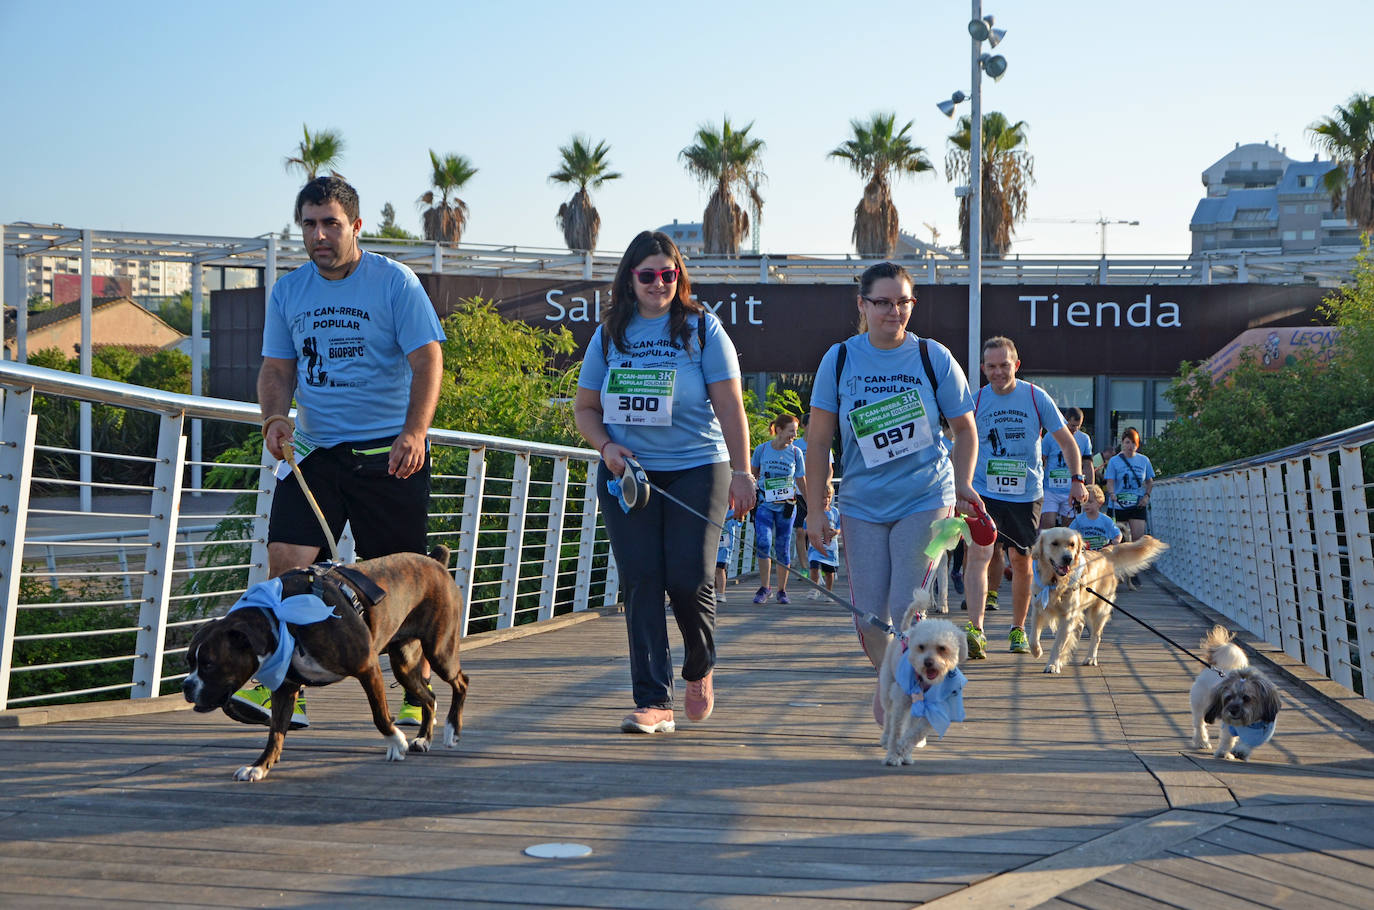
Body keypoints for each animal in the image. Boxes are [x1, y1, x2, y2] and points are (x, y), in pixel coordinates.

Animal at [181, 544, 467, 780]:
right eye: (189, 661)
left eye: (209, 664)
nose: (186, 686)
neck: (282, 617)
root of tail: (436, 562)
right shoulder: (285, 688)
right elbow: (275, 732)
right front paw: (259, 766)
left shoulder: (368, 668)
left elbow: (380, 715)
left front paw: (396, 742)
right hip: (404, 666)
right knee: (429, 697)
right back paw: (423, 739)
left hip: (439, 651)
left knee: (461, 682)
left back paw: (452, 729)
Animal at [879, 596, 967, 764]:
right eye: (921, 647)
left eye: (942, 648)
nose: (928, 662)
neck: (925, 681)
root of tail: (904, 632)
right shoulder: (901, 702)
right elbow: (897, 730)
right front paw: (893, 756)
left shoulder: (934, 709)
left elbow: (916, 732)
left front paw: (903, 750)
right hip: (887, 687)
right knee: (888, 714)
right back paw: (886, 738)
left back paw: (907, 755)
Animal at [1187, 626, 1280, 764]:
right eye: (1228, 698)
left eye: (1246, 698)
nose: (1233, 710)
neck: (1247, 722)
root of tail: (1216, 667)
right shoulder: (1229, 725)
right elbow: (1228, 739)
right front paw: (1224, 752)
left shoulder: (1260, 732)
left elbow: (1248, 743)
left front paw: (1241, 752)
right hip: (1200, 704)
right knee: (1199, 724)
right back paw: (1202, 742)